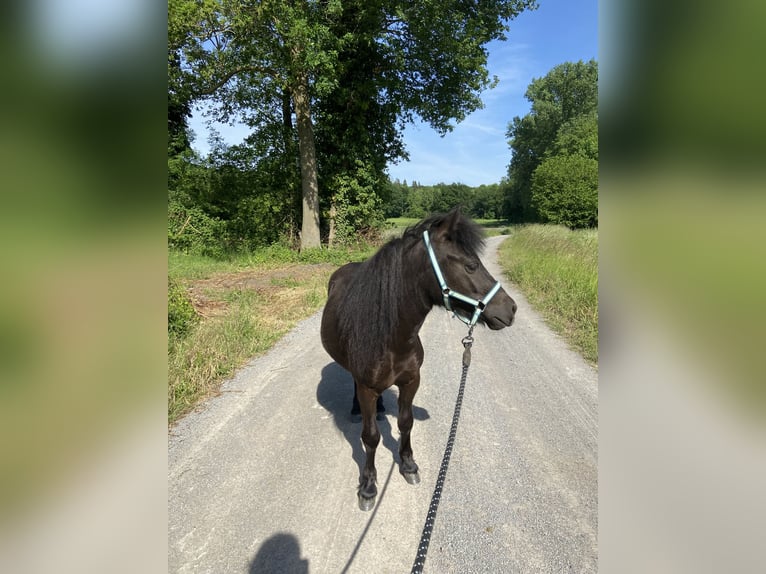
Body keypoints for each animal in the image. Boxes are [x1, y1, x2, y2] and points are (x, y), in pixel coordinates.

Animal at [318, 209, 516, 510]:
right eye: (471, 265)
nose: (511, 309)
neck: (392, 337)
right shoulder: (367, 388)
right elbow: (371, 437)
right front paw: (368, 487)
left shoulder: (411, 381)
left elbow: (405, 422)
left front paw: (408, 465)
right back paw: (356, 409)